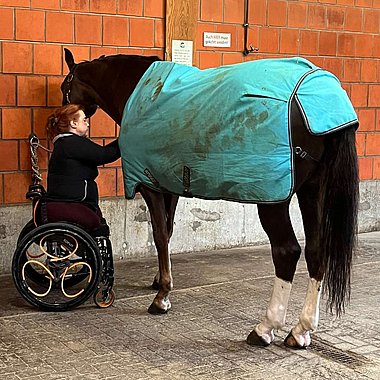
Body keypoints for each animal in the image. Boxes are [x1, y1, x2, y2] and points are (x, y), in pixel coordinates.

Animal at [60, 49, 358, 348]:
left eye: (65, 88)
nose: (58, 119)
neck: (138, 90)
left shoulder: (151, 186)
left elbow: (159, 234)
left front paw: (162, 297)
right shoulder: (171, 185)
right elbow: (167, 232)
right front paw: (160, 280)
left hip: (274, 200)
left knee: (287, 252)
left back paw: (265, 327)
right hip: (312, 191)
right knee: (316, 251)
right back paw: (301, 330)